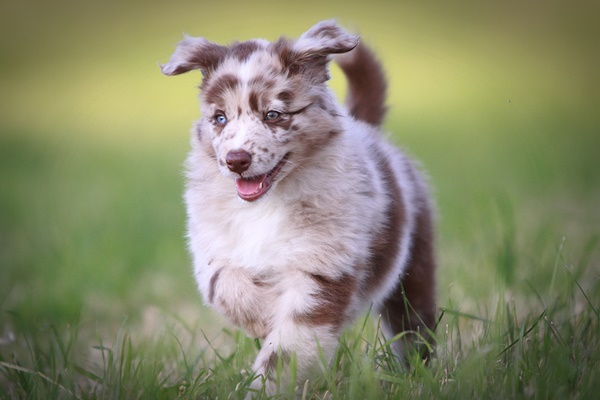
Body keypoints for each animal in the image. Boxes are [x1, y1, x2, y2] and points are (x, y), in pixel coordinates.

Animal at [162, 20, 436, 396]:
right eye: (219, 118)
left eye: (273, 115)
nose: (235, 160)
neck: (268, 203)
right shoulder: (213, 248)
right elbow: (228, 283)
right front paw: (263, 316)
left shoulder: (324, 263)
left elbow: (289, 344)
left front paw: (267, 387)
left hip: (413, 269)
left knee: (414, 324)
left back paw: (418, 373)